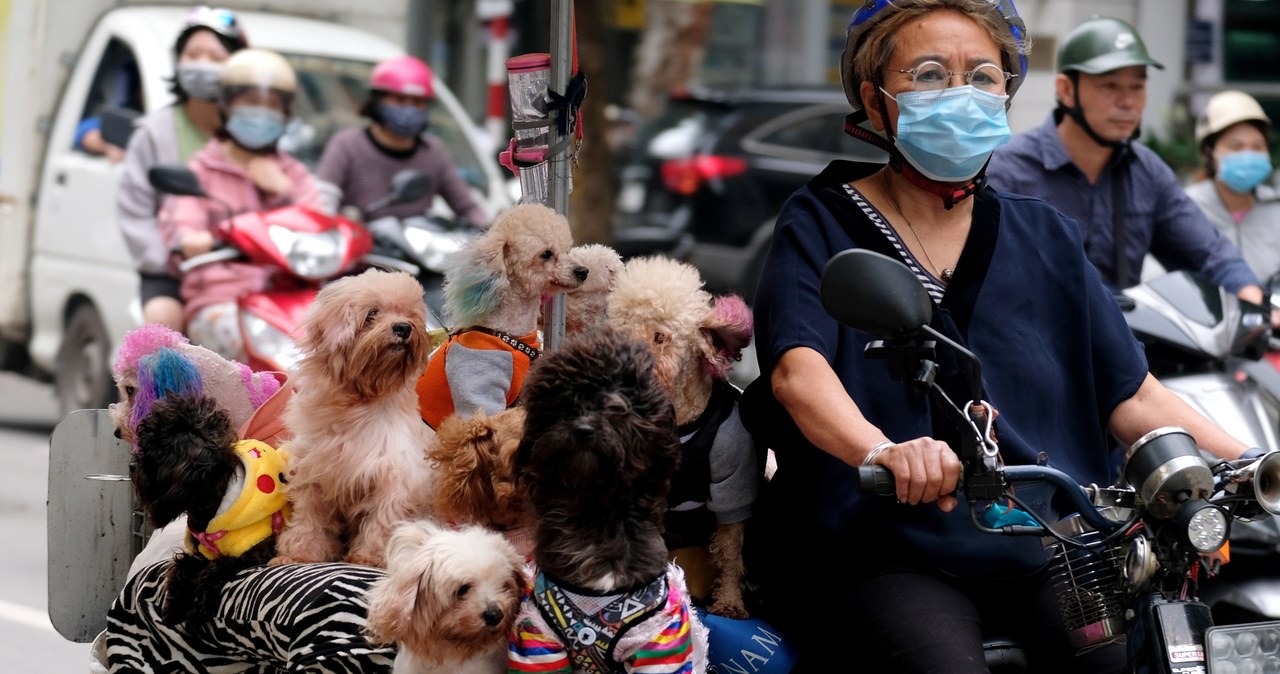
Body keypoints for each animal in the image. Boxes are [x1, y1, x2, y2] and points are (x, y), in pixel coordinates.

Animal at [130, 399, 277, 624]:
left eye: (154, 451)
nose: (131, 466)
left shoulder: (255, 550)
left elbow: (217, 567)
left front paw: (199, 606)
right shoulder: (201, 553)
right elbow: (181, 564)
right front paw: (174, 604)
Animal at [601, 255, 757, 619]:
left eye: (659, 336)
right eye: (621, 331)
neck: (681, 420)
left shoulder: (733, 479)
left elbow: (730, 550)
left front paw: (730, 601)